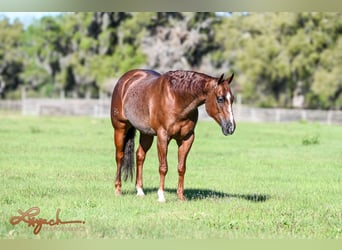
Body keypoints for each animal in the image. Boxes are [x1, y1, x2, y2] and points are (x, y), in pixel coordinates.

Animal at [110, 69, 235, 202]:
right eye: (220, 99)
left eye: (232, 99)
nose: (231, 127)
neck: (176, 98)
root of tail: (126, 79)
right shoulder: (163, 137)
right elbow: (163, 167)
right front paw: (161, 196)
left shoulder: (187, 138)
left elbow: (181, 167)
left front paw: (181, 196)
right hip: (120, 128)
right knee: (120, 156)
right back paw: (118, 189)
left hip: (146, 134)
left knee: (140, 156)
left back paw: (140, 190)